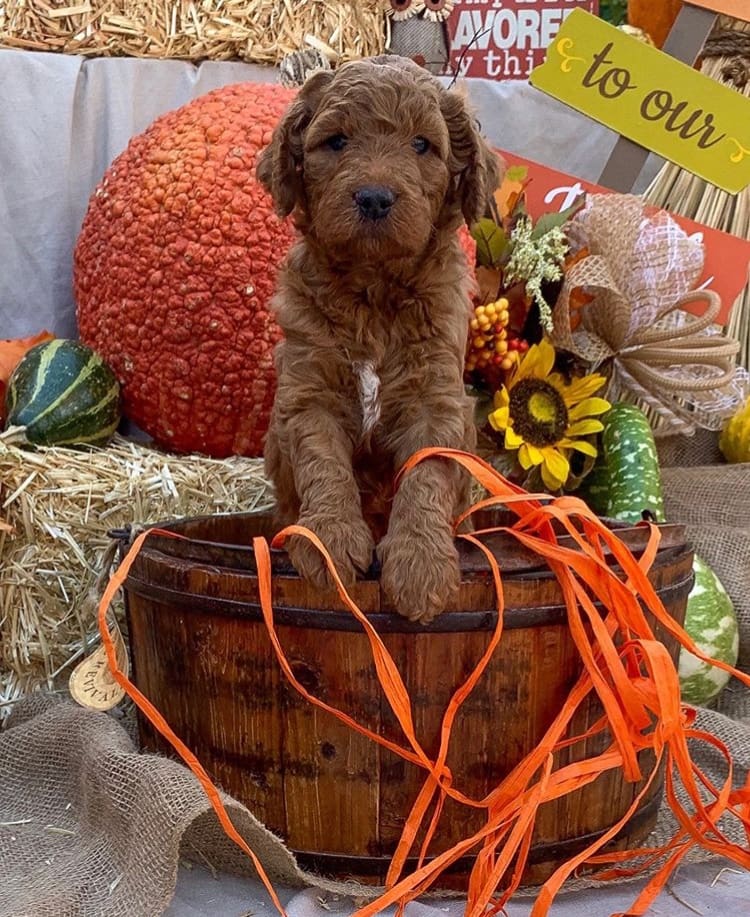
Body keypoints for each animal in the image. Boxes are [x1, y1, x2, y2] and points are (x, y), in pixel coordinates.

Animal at [258, 53, 500, 620]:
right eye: (336, 141)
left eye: (422, 145)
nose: (373, 198)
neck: (373, 292)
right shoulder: (310, 393)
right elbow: (324, 463)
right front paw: (328, 542)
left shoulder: (435, 398)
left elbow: (426, 473)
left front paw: (421, 567)